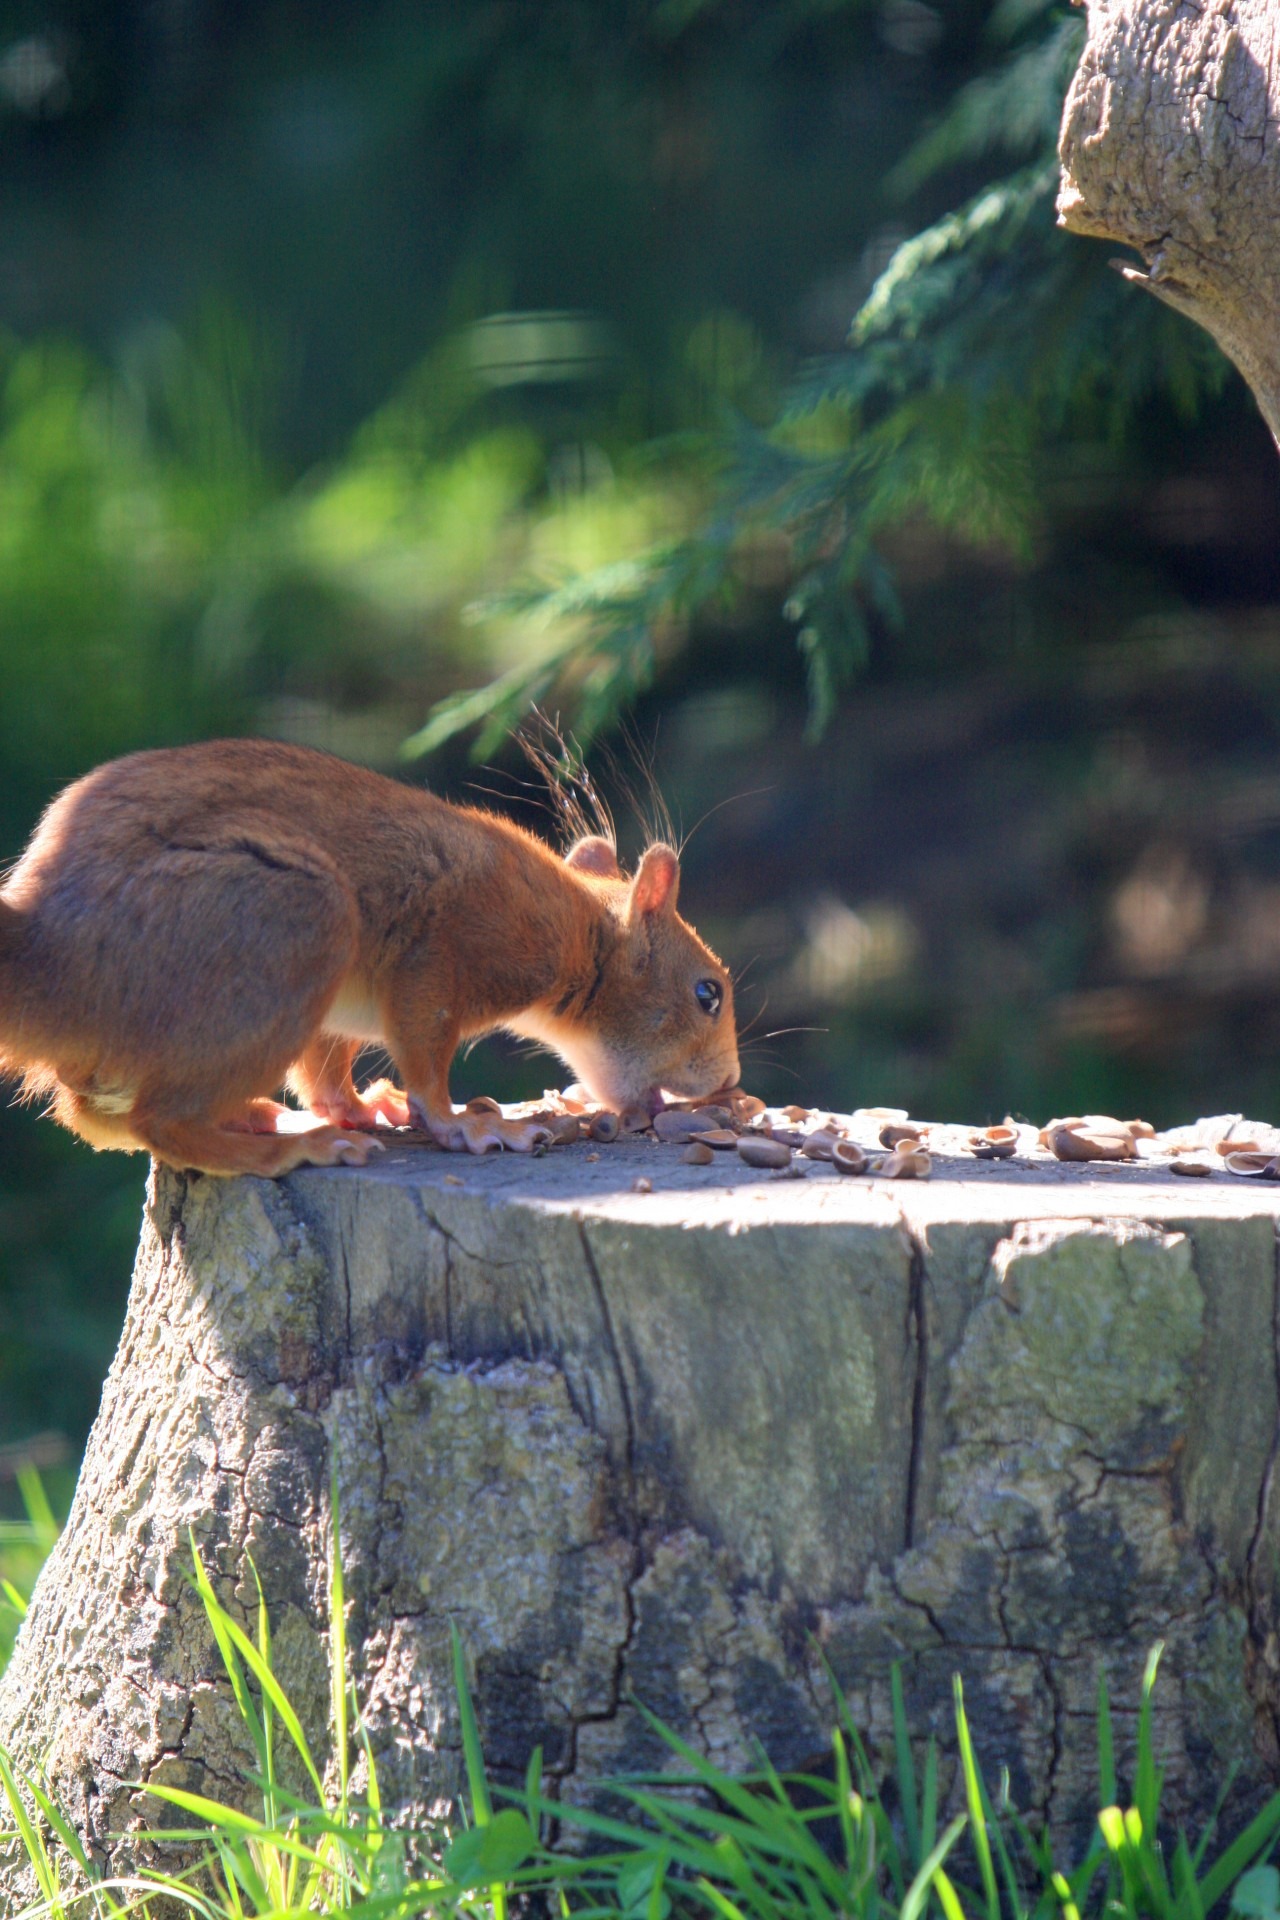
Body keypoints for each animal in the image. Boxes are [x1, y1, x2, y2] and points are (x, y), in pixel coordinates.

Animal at [0, 741, 740, 1175]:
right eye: (708, 993)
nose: (731, 1081)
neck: (576, 930)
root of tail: (52, 954)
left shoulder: (341, 1017)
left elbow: (326, 1075)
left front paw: (366, 1106)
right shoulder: (445, 950)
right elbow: (426, 1053)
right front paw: (463, 1124)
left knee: (93, 1115)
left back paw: (257, 1115)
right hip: (294, 920)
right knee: (159, 1123)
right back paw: (293, 1148)